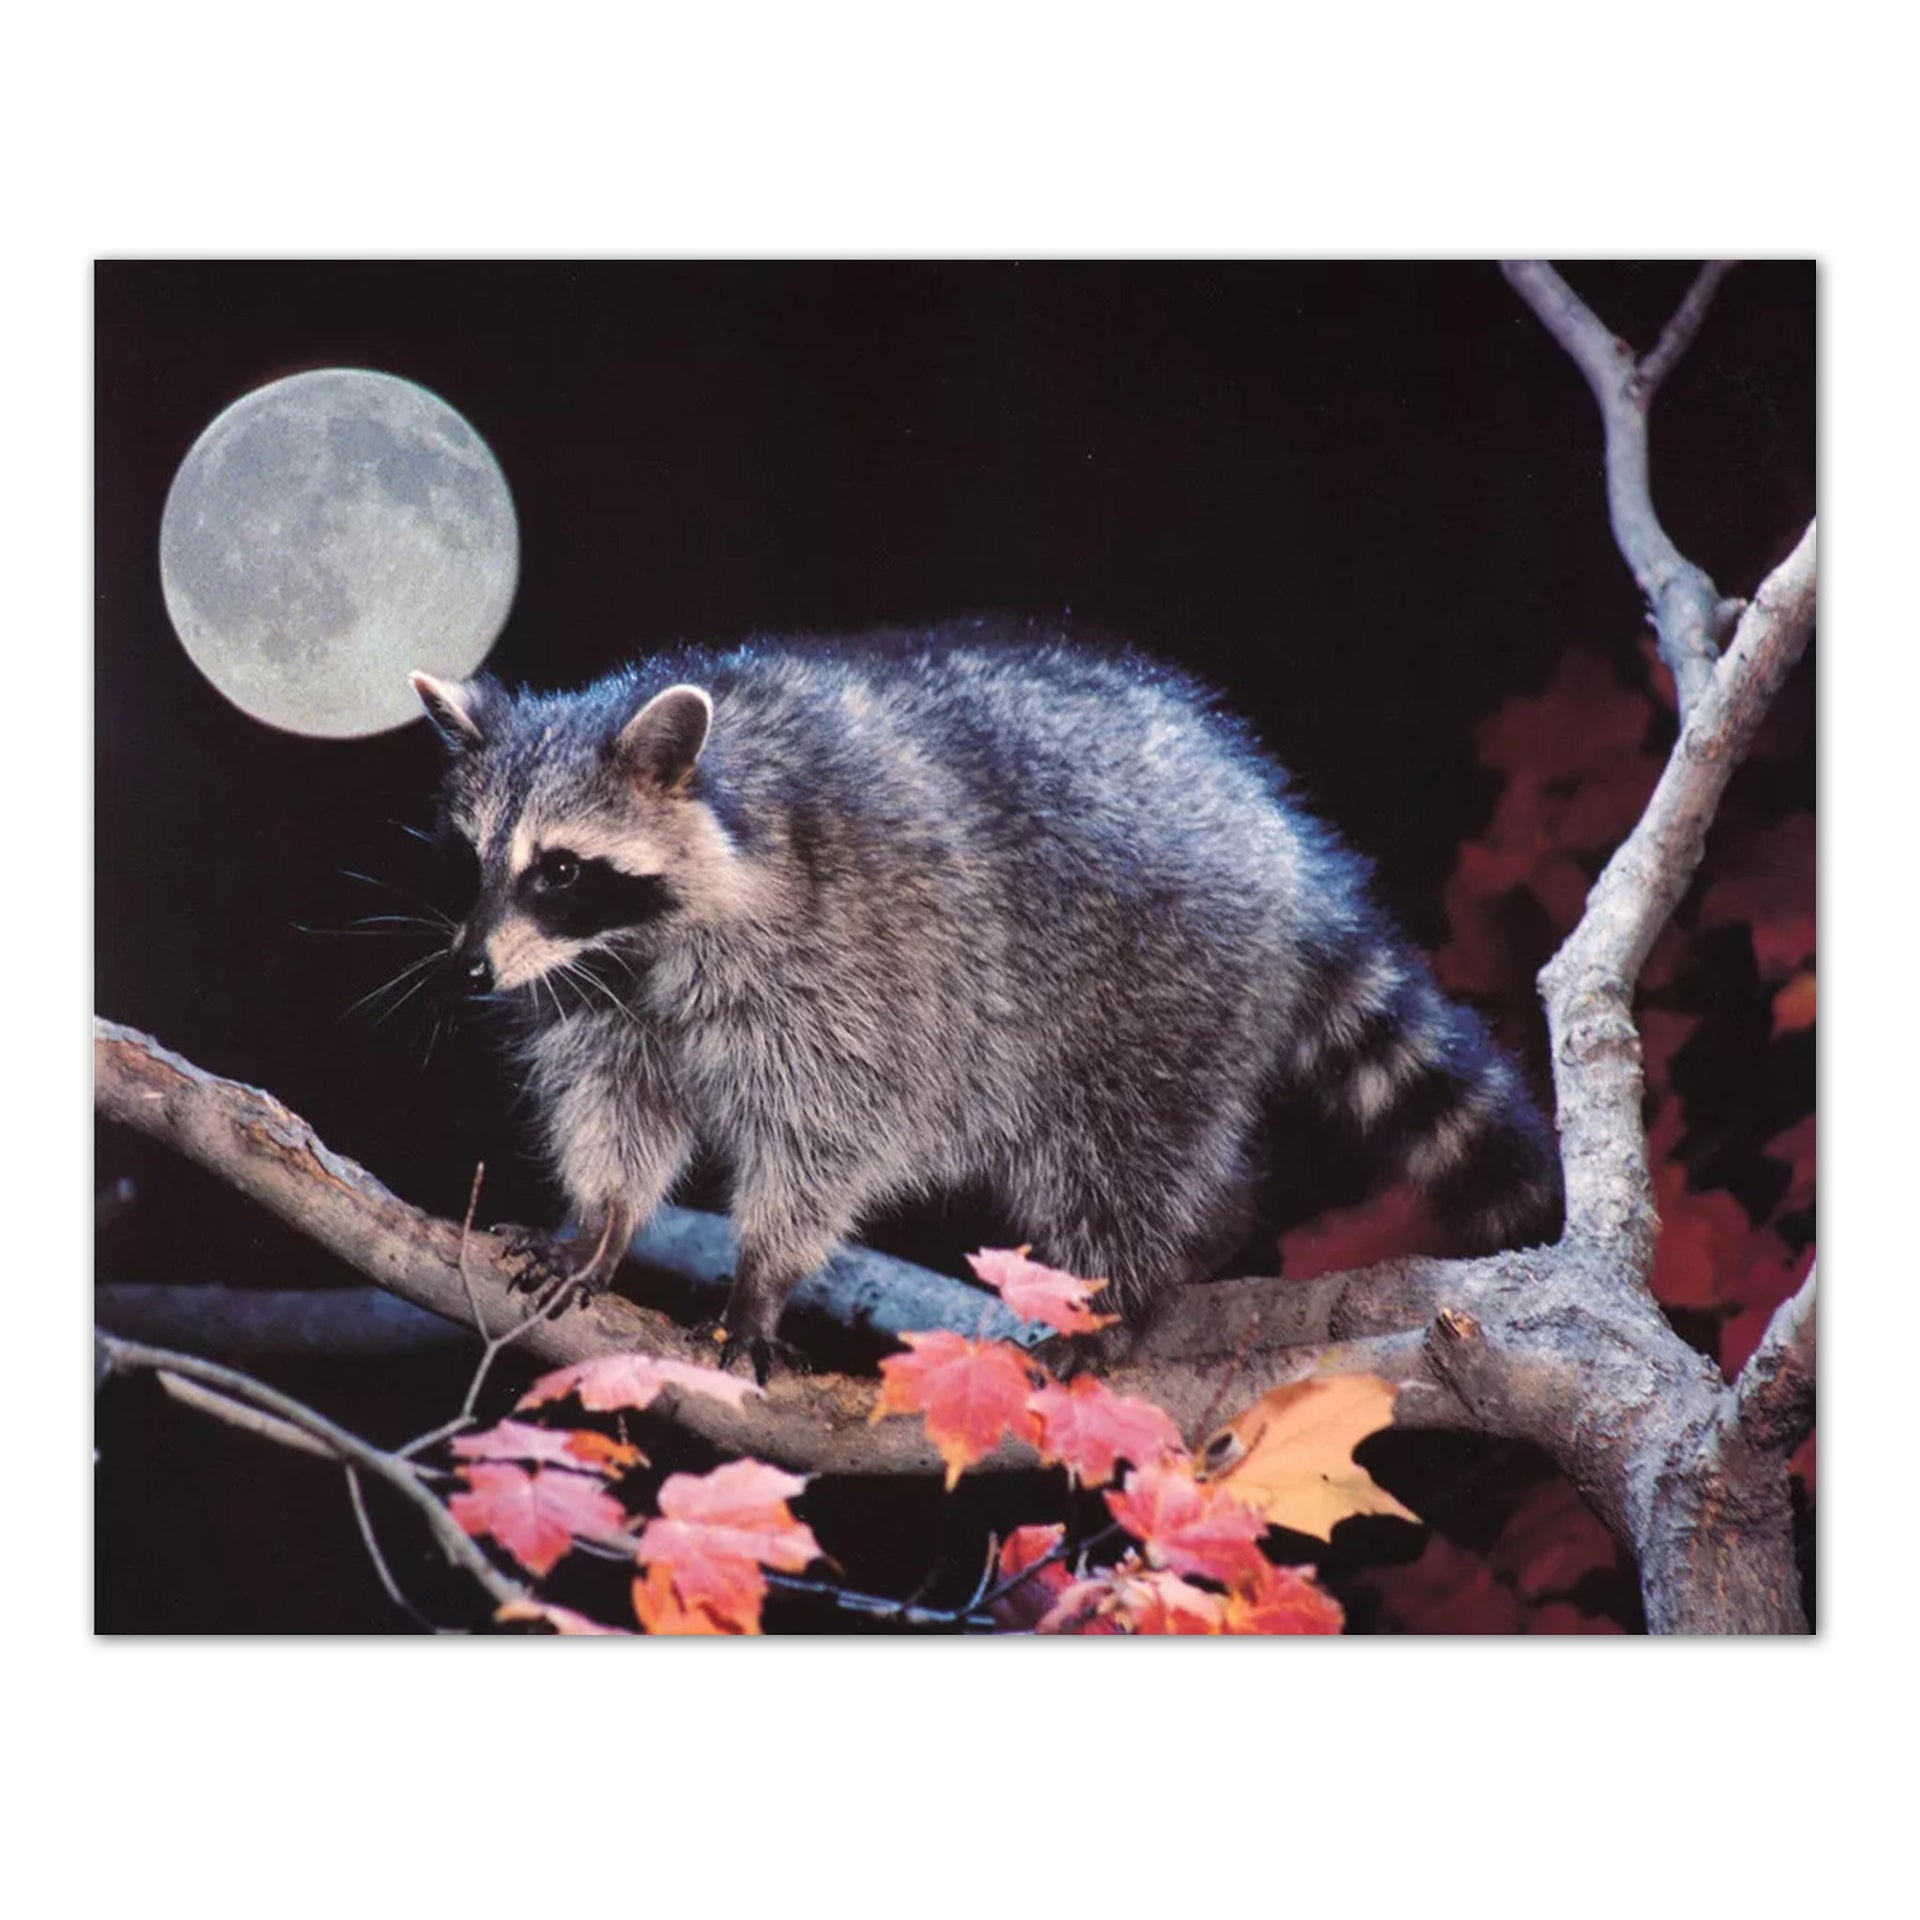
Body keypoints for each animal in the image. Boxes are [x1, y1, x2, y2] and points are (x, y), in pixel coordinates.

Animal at [410, 621, 1561, 1364]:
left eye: (560, 869)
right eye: (471, 861)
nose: (466, 967)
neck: (640, 940)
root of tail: (1272, 828)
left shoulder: (844, 967)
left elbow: (827, 1131)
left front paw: (763, 1277)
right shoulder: (596, 995)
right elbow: (618, 1103)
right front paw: (600, 1223)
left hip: (1158, 980)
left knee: (1121, 1149)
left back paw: (1128, 1283)